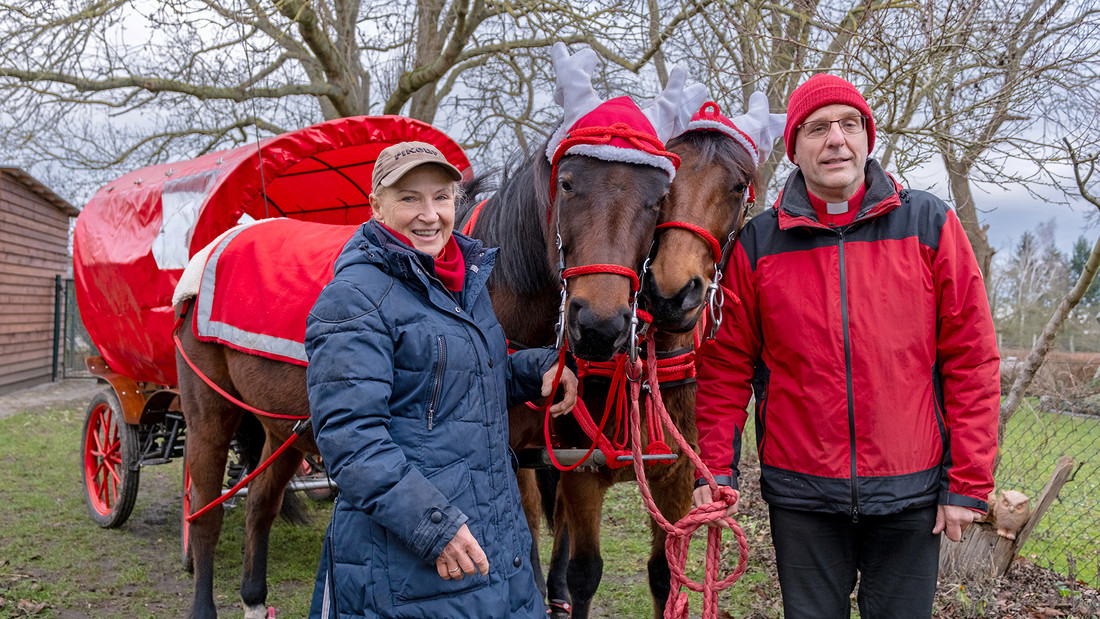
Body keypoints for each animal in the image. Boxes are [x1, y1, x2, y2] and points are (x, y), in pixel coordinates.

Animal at [539, 123, 761, 615]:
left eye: (738, 187)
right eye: (668, 192)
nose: (672, 294)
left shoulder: (678, 478)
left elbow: (666, 573)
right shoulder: (579, 470)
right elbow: (586, 572)